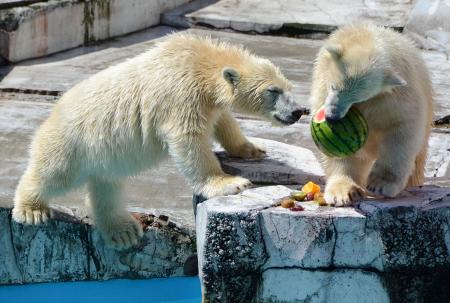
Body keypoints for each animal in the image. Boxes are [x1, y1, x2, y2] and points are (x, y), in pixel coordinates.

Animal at [12, 34, 306, 251]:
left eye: (289, 87)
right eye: (273, 91)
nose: (297, 112)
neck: (200, 61)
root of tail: (52, 115)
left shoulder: (207, 100)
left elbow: (224, 121)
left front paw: (253, 149)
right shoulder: (182, 94)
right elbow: (188, 140)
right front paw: (230, 183)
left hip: (102, 157)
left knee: (107, 186)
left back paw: (123, 231)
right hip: (73, 144)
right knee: (54, 174)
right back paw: (31, 209)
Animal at [312, 21, 434, 207]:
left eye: (357, 97)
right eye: (334, 86)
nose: (332, 116)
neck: (370, 38)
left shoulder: (397, 95)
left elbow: (401, 130)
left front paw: (380, 185)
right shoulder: (322, 85)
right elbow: (341, 155)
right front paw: (343, 192)